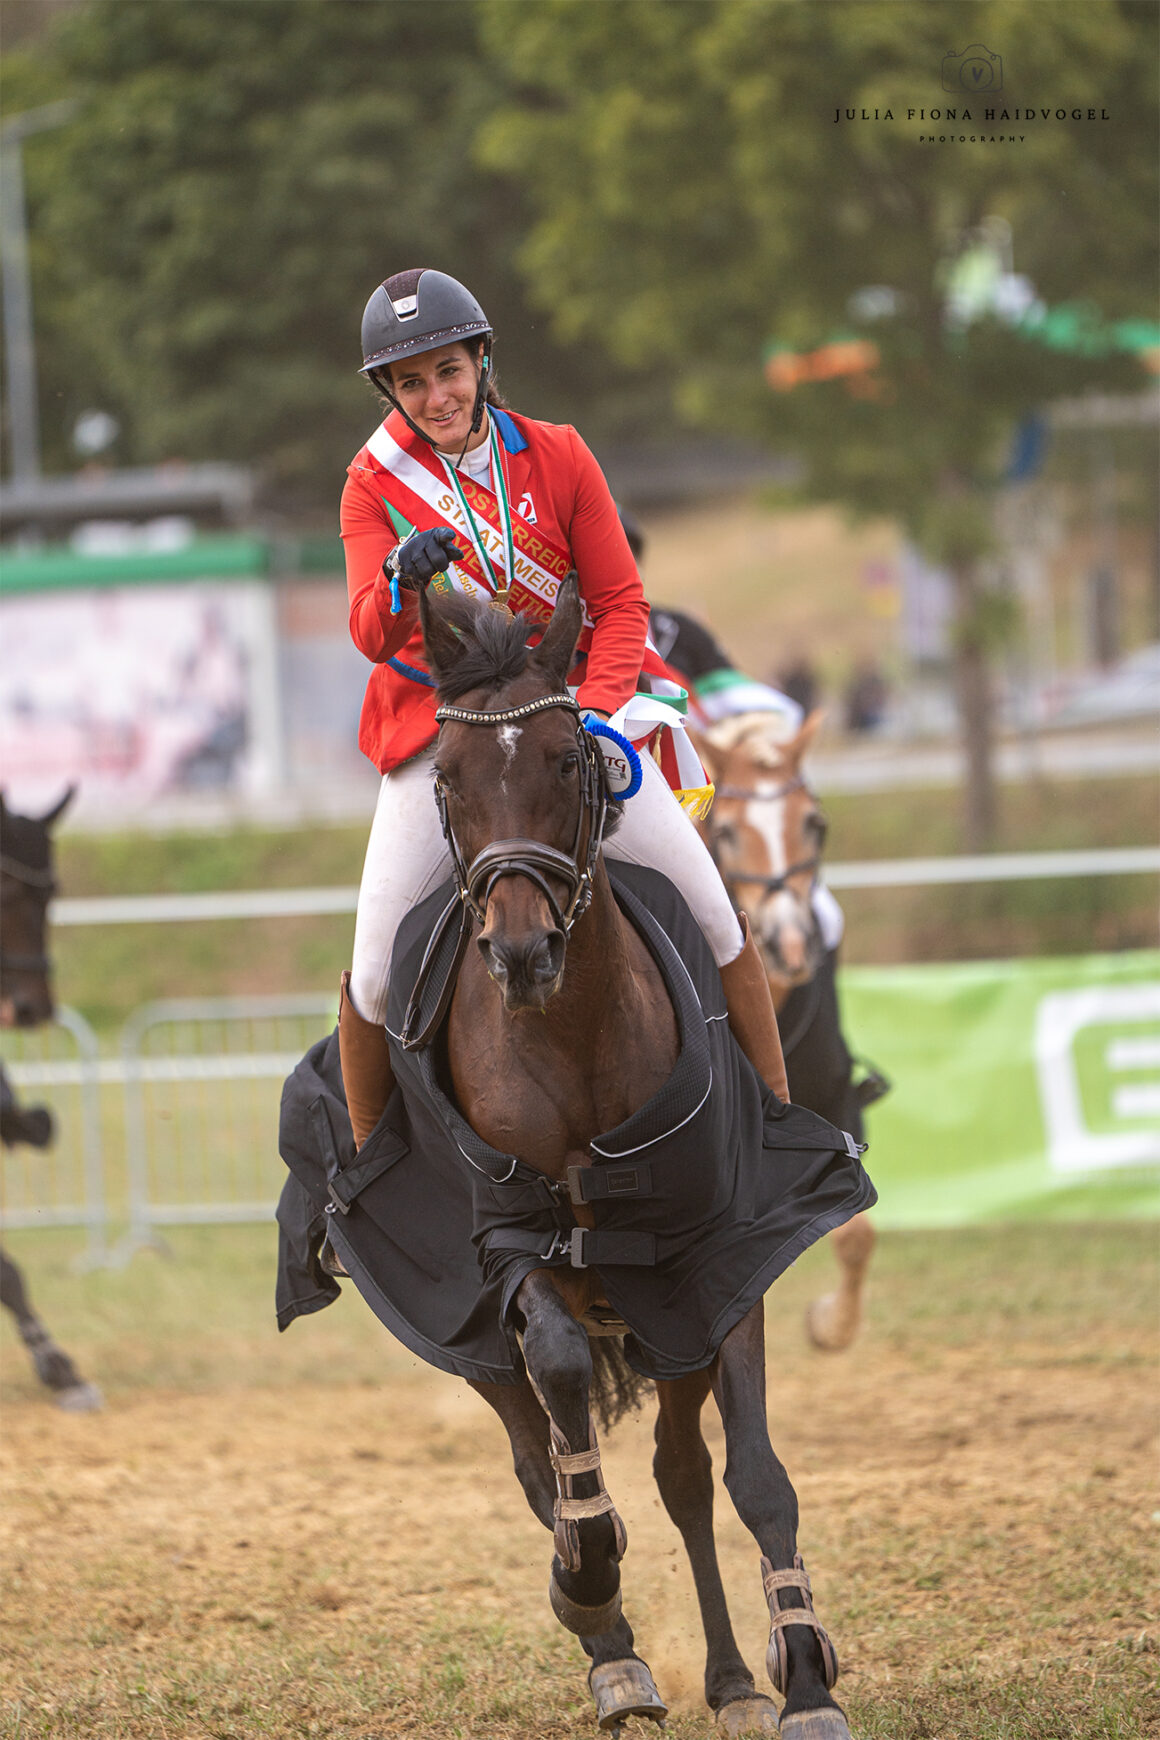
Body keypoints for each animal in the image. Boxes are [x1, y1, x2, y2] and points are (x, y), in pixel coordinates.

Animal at [403, 584, 859, 1740]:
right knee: (541, 1461)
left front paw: (803, 1677)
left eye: (572, 759)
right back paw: (609, 1644)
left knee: (679, 1471)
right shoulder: (510, 1245)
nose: (521, 952)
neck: (571, 1032)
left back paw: (732, 1675)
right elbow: (564, 1381)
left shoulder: (723, 1257)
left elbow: (753, 1476)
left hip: (667, 1323)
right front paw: (588, 1581)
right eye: (445, 779)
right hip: (488, 1342)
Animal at [688, 713, 880, 1350]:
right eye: (724, 831)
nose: (789, 944)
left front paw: (830, 1325)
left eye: (815, 824)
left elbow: (855, 1235)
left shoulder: (838, 1104)